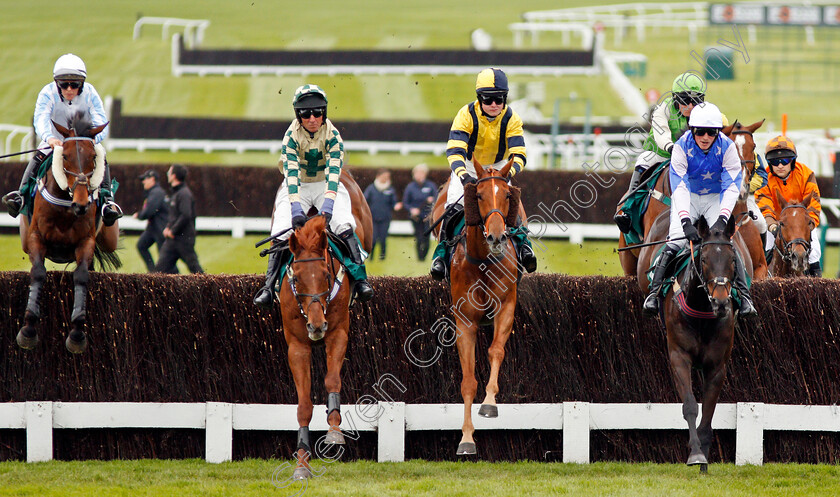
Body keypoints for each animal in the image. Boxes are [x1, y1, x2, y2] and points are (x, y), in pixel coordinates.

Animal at [15, 112, 120, 352]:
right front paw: (28, 329)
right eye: (65, 156)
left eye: (93, 157)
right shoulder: (35, 237)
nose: (81, 204)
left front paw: (77, 333)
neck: (65, 207)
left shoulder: (85, 241)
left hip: (110, 237)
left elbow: (81, 276)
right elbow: (38, 272)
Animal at [274, 170, 372, 476]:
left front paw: (334, 432)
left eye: (326, 274)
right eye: (296, 278)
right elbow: (303, 404)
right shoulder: (297, 345)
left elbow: (332, 379)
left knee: (347, 228)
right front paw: (302, 462)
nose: (317, 326)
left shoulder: (338, 332)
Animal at [430, 158, 520, 454]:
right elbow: (468, 382)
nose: (496, 237)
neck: (483, 261)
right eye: (478, 195)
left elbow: (496, 351)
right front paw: (467, 438)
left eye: (507, 195)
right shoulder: (465, 321)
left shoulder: (506, 307)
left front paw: (490, 403)